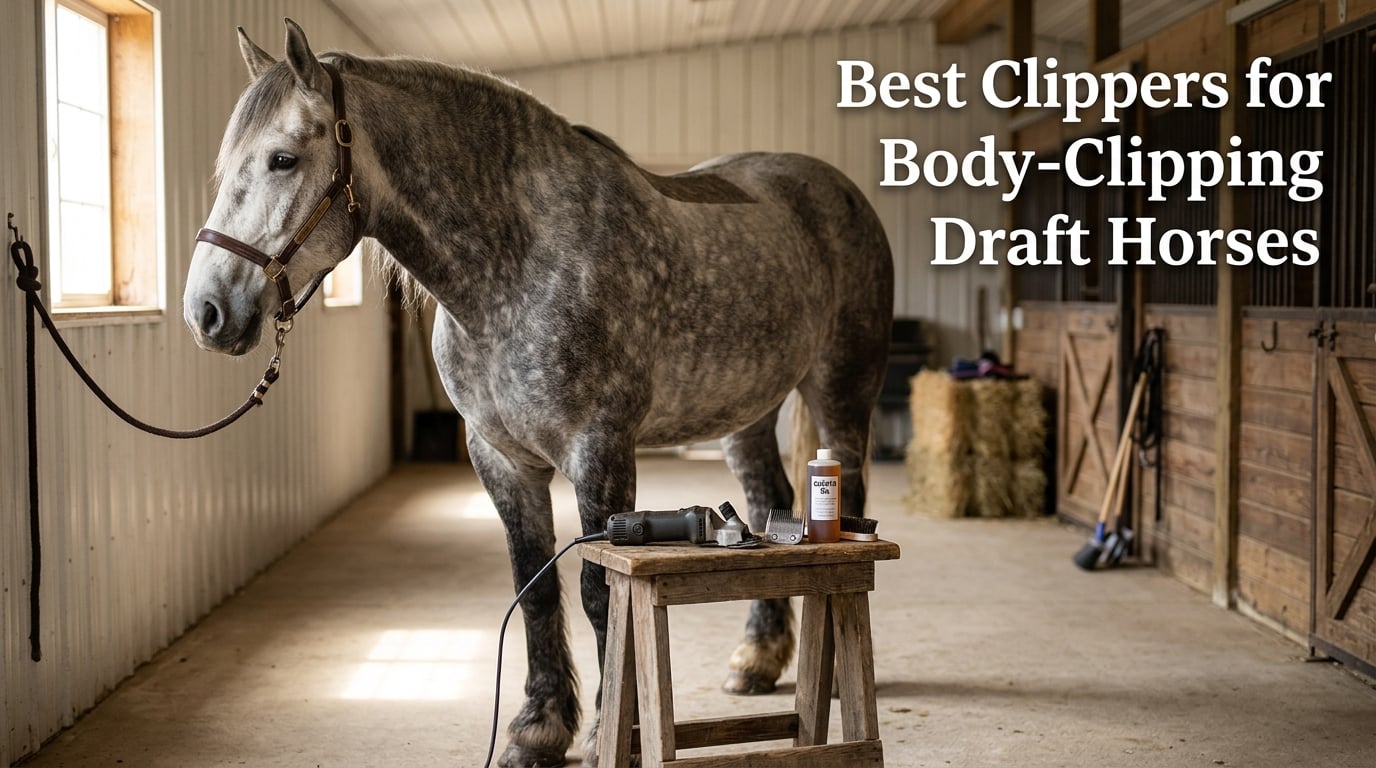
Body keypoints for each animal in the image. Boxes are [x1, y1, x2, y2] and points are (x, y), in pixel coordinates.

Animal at [184, 19, 893, 768]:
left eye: (283, 159)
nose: (206, 311)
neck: (518, 262)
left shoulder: (598, 450)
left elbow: (599, 591)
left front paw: (613, 729)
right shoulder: (501, 459)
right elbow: (535, 587)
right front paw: (539, 730)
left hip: (841, 390)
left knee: (847, 495)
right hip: (746, 412)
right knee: (768, 500)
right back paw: (757, 661)